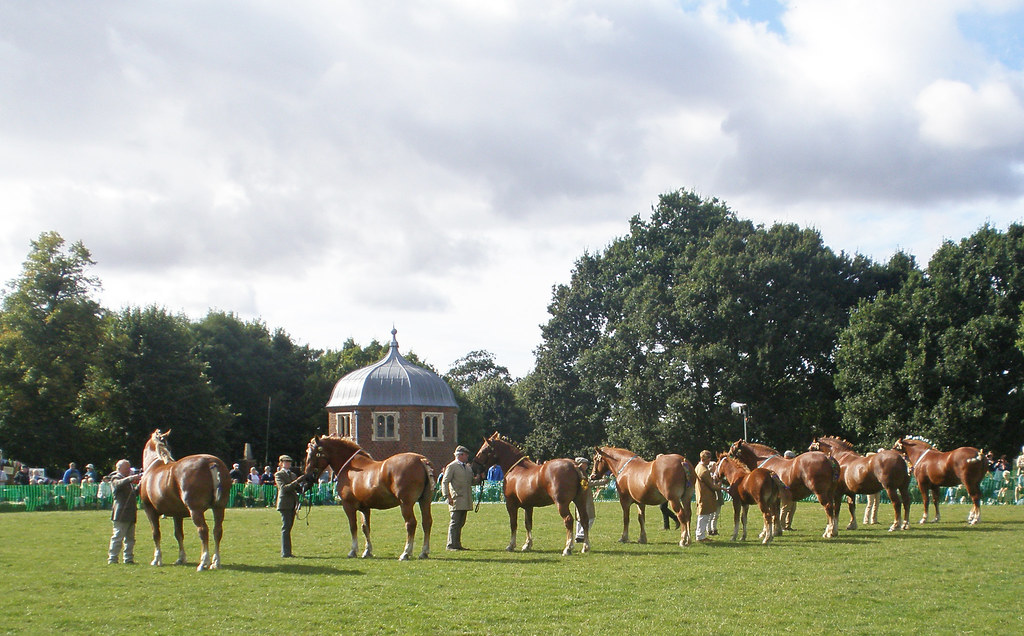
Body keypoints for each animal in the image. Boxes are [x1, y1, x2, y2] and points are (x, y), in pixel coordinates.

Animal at [139, 429, 230, 571]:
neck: (155, 464)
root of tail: (211, 462)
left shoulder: (150, 510)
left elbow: (156, 534)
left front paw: (157, 559)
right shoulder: (177, 514)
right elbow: (178, 534)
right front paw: (181, 558)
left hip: (196, 510)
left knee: (203, 530)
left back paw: (203, 562)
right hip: (219, 508)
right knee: (217, 531)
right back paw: (216, 562)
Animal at [302, 435, 434, 560]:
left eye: (313, 453)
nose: (307, 476)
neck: (350, 467)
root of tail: (421, 460)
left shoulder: (348, 505)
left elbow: (353, 526)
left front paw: (353, 551)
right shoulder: (364, 508)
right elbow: (365, 527)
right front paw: (367, 551)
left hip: (406, 504)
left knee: (410, 524)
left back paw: (406, 553)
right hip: (425, 501)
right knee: (426, 522)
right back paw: (424, 552)